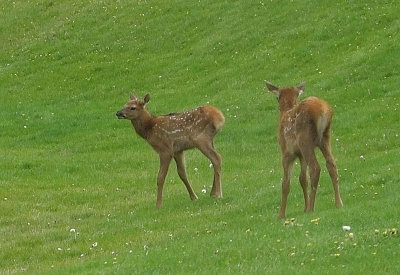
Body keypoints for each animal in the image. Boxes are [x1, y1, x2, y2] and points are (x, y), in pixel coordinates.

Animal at [266, 81, 344, 219]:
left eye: (277, 97)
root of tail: (323, 109)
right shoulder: (300, 154)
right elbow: (303, 179)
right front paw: (304, 207)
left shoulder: (287, 153)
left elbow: (285, 183)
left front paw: (281, 215)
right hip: (325, 137)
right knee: (331, 164)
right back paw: (338, 203)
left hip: (305, 139)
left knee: (315, 168)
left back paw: (311, 208)